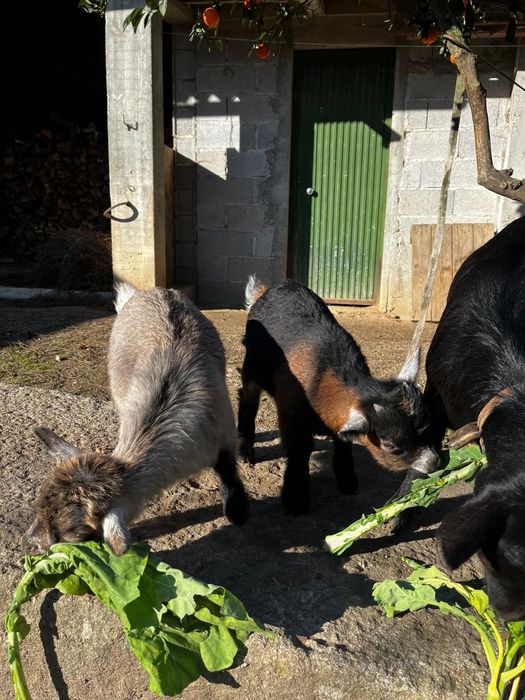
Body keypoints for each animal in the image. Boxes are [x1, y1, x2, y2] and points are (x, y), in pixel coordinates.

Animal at [24, 284, 249, 555]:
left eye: (70, 532)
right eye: (38, 507)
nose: (28, 544)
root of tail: (151, 291)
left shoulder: (224, 434)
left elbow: (229, 471)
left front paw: (238, 512)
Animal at [237, 277, 438, 515]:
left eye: (426, 429)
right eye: (390, 445)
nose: (433, 462)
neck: (323, 375)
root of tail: (264, 291)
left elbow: (343, 441)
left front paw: (347, 481)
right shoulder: (291, 413)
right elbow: (300, 450)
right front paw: (296, 500)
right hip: (251, 365)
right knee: (247, 400)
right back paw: (245, 453)